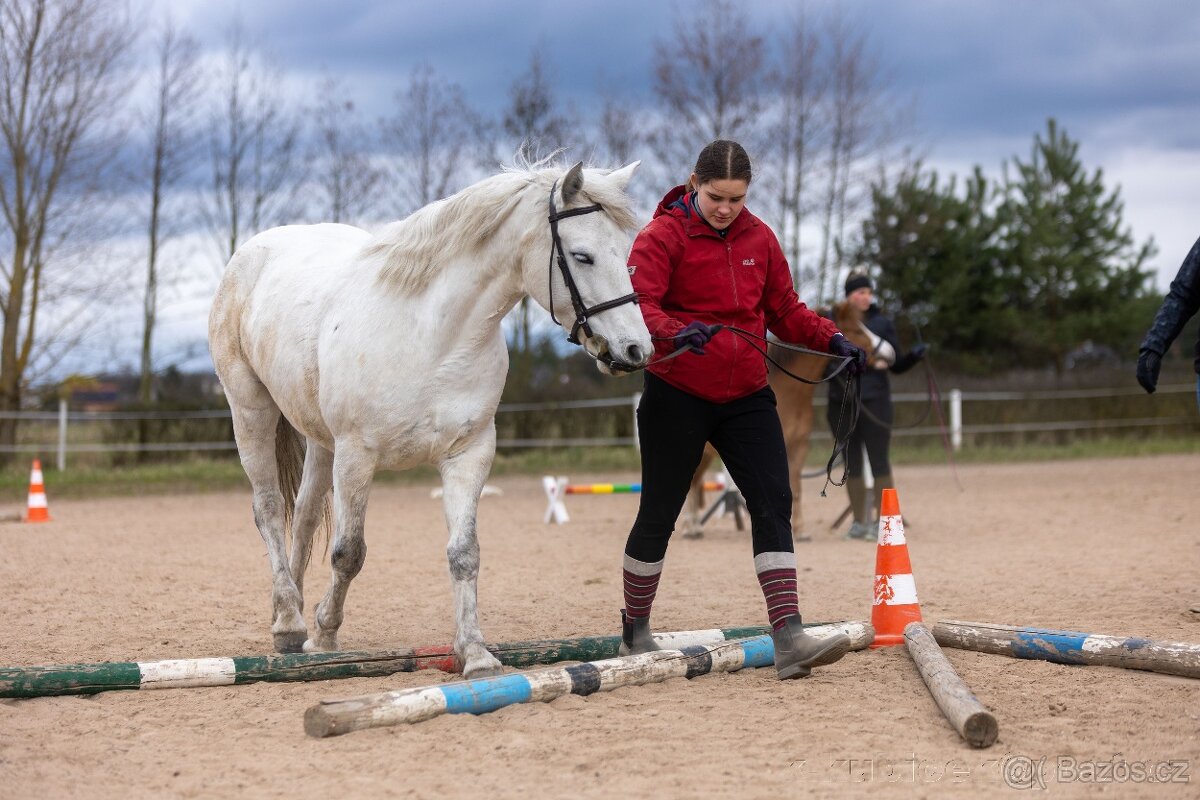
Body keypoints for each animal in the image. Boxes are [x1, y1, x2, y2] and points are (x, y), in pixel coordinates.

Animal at [208, 161, 652, 679]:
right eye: (583, 257)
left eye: (625, 255)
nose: (635, 350)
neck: (434, 337)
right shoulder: (357, 456)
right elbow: (348, 552)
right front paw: (324, 632)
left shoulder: (469, 454)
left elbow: (464, 554)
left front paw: (475, 654)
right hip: (251, 410)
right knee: (269, 509)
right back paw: (289, 623)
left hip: (319, 438)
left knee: (302, 516)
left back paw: (294, 611)